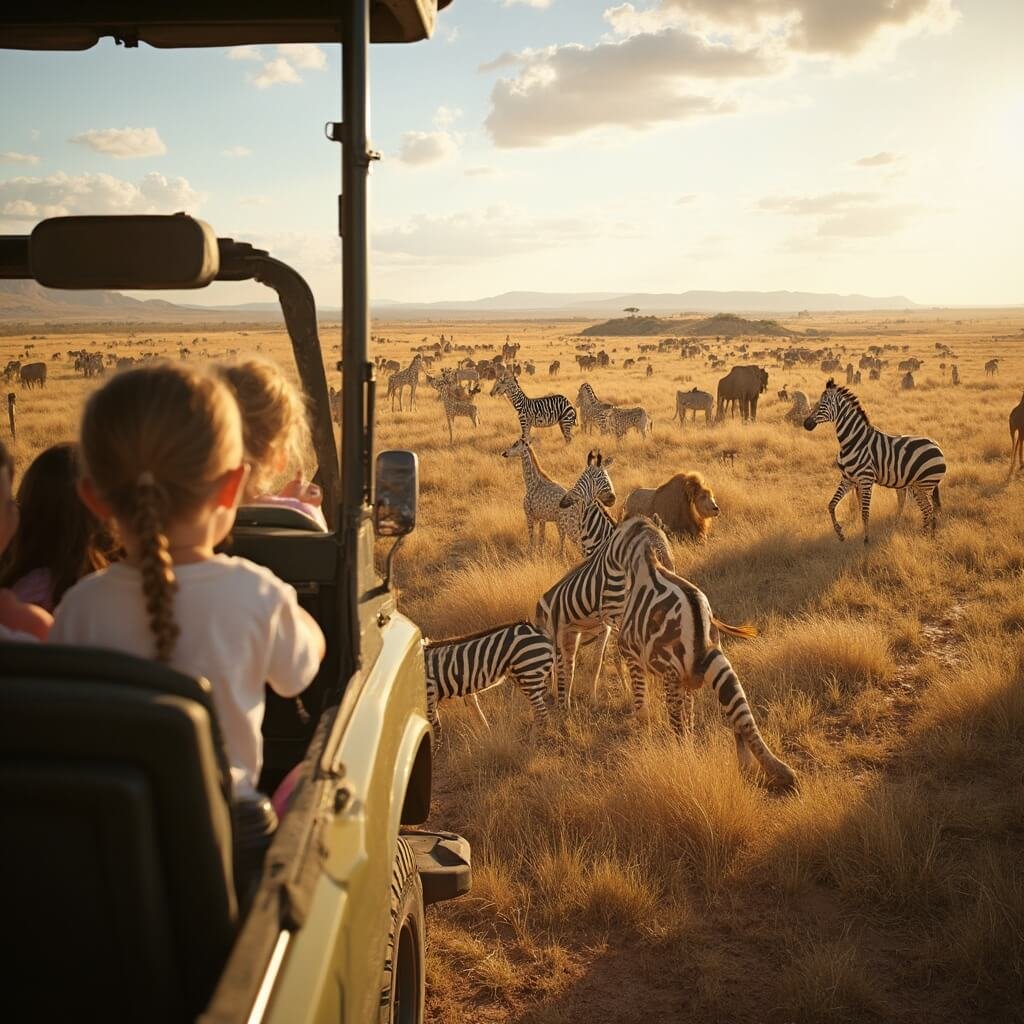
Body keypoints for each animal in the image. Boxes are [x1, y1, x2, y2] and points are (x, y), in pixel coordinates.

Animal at [423, 622, 555, 736]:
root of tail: (539, 630)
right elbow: (475, 713)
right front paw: (485, 736)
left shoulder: (430, 699)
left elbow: (434, 731)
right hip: (524, 677)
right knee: (539, 710)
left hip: (528, 672)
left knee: (542, 713)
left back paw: (536, 740)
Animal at [615, 515, 797, 791]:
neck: (647, 559)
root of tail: (697, 619)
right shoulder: (688, 679)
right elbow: (689, 717)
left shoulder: (632, 656)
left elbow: (643, 708)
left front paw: (643, 740)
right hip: (719, 663)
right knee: (742, 720)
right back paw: (768, 771)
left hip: (673, 673)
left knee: (678, 725)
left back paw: (682, 763)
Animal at [804, 379, 946, 543]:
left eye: (821, 404)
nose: (805, 424)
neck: (853, 441)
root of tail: (936, 444)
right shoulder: (848, 479)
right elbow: (831, 505)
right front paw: (840, 533)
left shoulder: (866, 479)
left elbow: (865, 512)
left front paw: (866, 539)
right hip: (917, 486)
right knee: (929, 510)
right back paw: (928, 536)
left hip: (924, 485)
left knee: (928, 509)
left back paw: (923, 538)